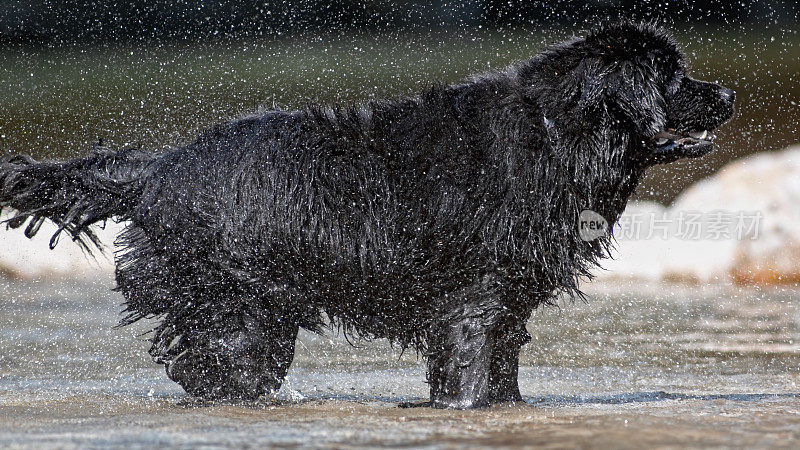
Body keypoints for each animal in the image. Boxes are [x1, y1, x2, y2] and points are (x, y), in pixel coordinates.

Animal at [0, 22, 736, 408]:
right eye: (673, 77)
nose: (726, 92)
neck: (561, 133)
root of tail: (159, 168)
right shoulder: (477, 296)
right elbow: (471, 363)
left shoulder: (507, 302)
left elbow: (502, 367)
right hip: (236, 303)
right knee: (215, 361)